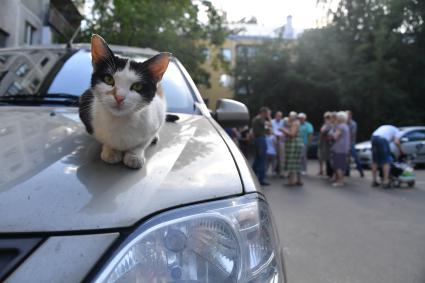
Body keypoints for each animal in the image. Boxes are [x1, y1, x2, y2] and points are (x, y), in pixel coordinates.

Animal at [79, 34, 171, 170]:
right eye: (108, 79)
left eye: (137, 86)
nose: (119, 97)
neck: (120, 121)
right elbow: (104, 140)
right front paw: (111, 151)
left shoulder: (156, 119)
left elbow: (142, 143)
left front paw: (134, 156)